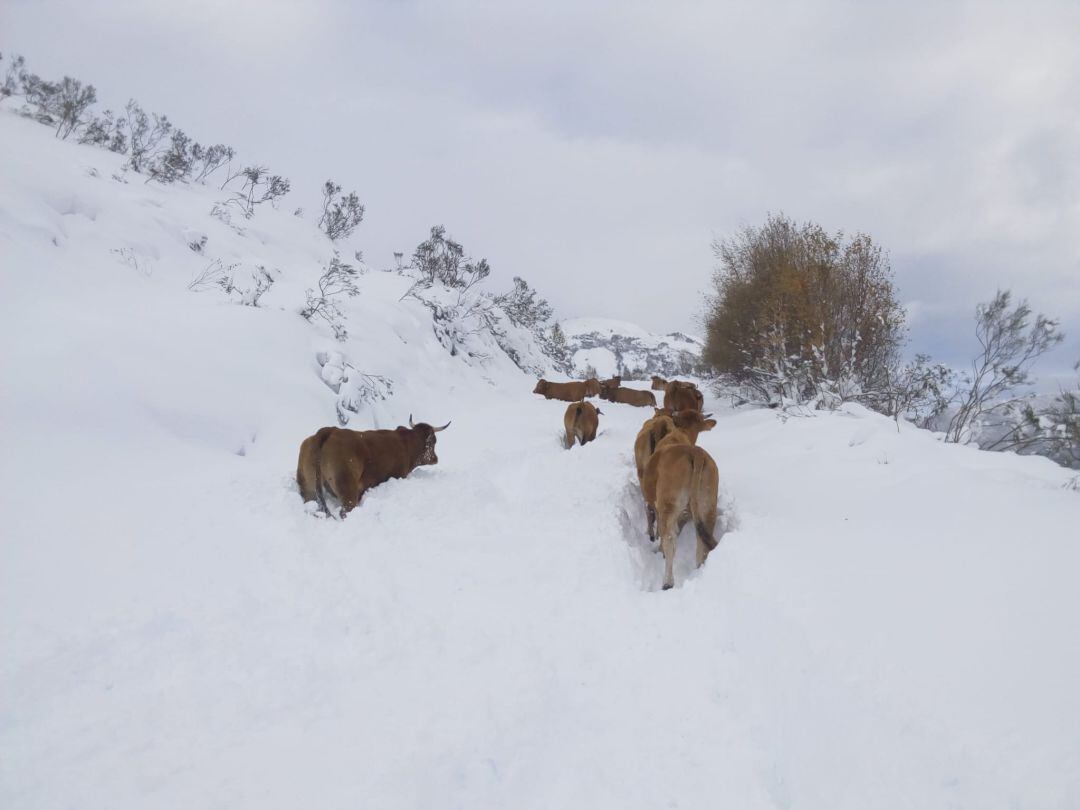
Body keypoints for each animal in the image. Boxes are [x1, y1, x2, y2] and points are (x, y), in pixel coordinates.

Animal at [298, 414, 449, 516]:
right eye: (434, 441)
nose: (435, 459)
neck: (407, 442)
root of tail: (329, 431)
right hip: (347, 488)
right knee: (345, 511)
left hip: (308, 487)